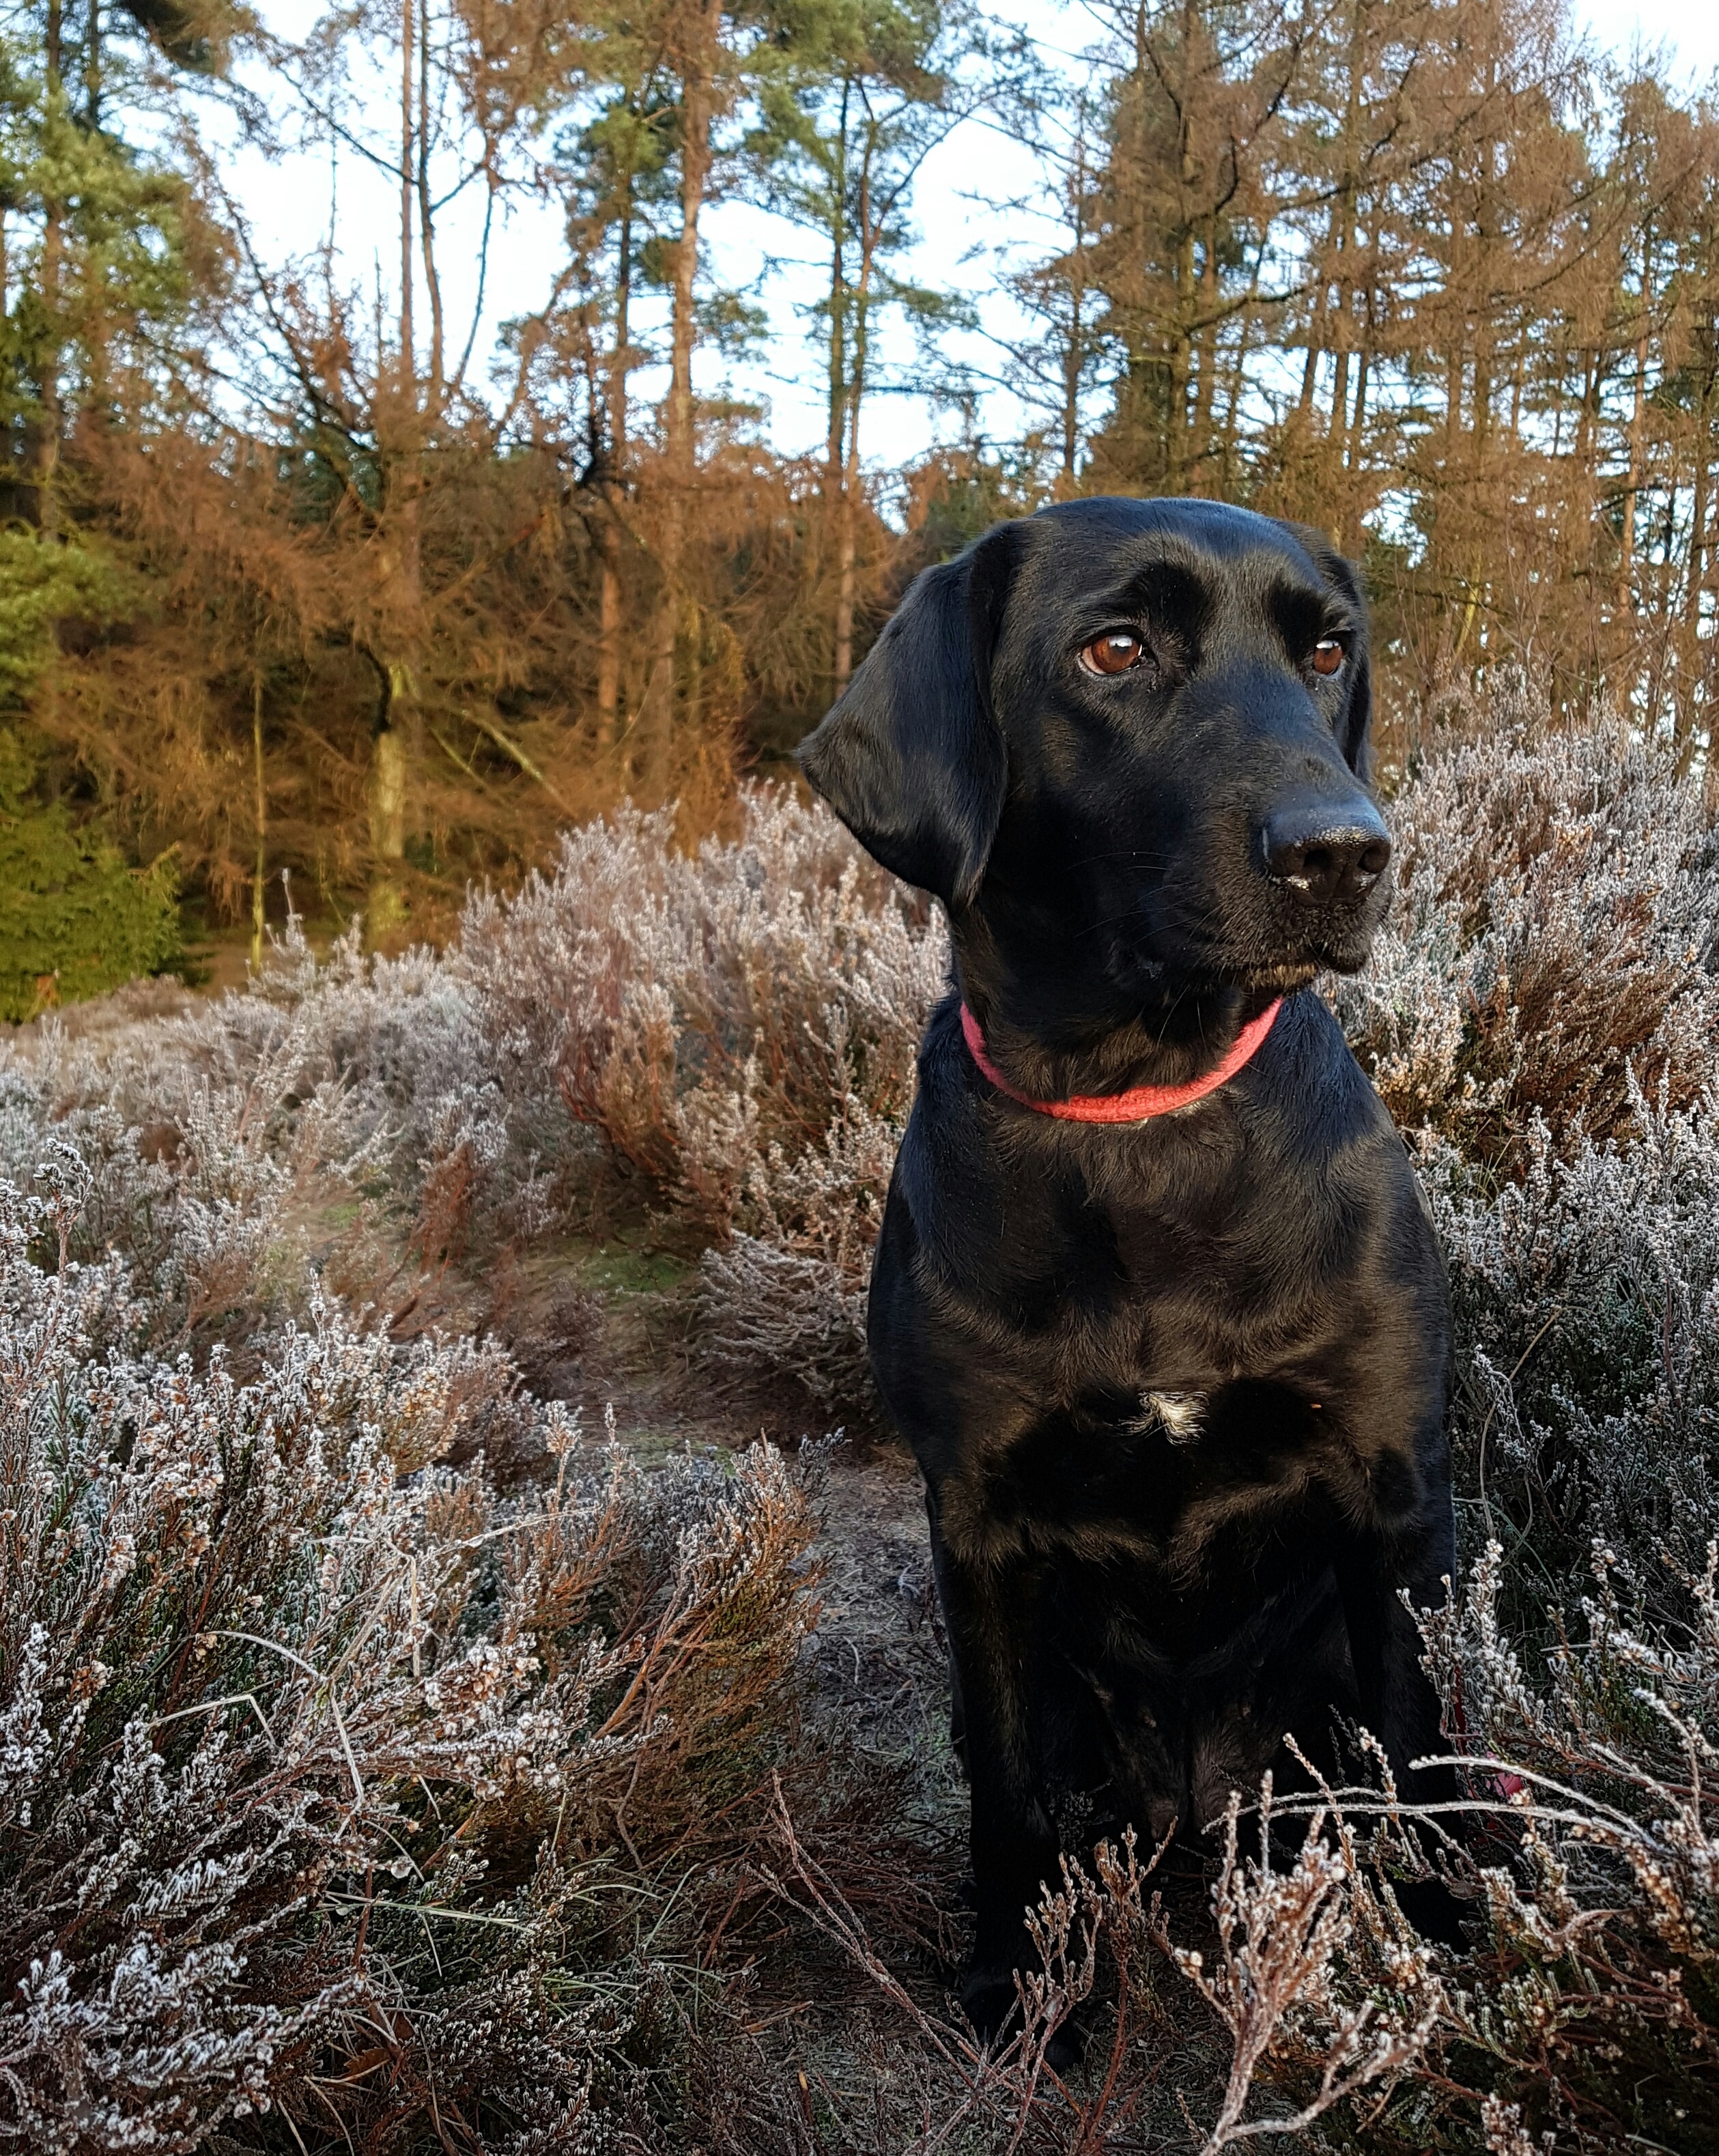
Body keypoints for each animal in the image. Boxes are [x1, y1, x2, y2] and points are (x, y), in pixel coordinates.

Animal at [797, 494, 1458, 2035]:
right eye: (1113, 649)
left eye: (1326, 650)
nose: (1343, 850)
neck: (1138, 1108)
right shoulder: (976, 1526)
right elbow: (1000, 1788)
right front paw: (1009, 1974)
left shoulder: (1388, 1496)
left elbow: (1415, 1753)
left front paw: (1448, 1953)